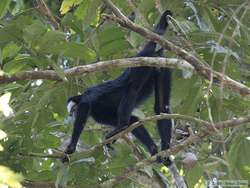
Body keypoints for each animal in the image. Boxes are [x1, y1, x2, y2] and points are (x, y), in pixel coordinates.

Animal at [65, 10, 173, 166]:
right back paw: (164, 149)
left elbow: (84, 109)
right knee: (162, 107)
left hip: (141, 66)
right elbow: (133, 120)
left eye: (73, 110)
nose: (71, 116)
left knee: (132, 87)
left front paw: (71, 147)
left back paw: (121, 126)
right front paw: (153, 148)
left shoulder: (88, 96)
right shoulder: (99, 114)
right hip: (161, 68)